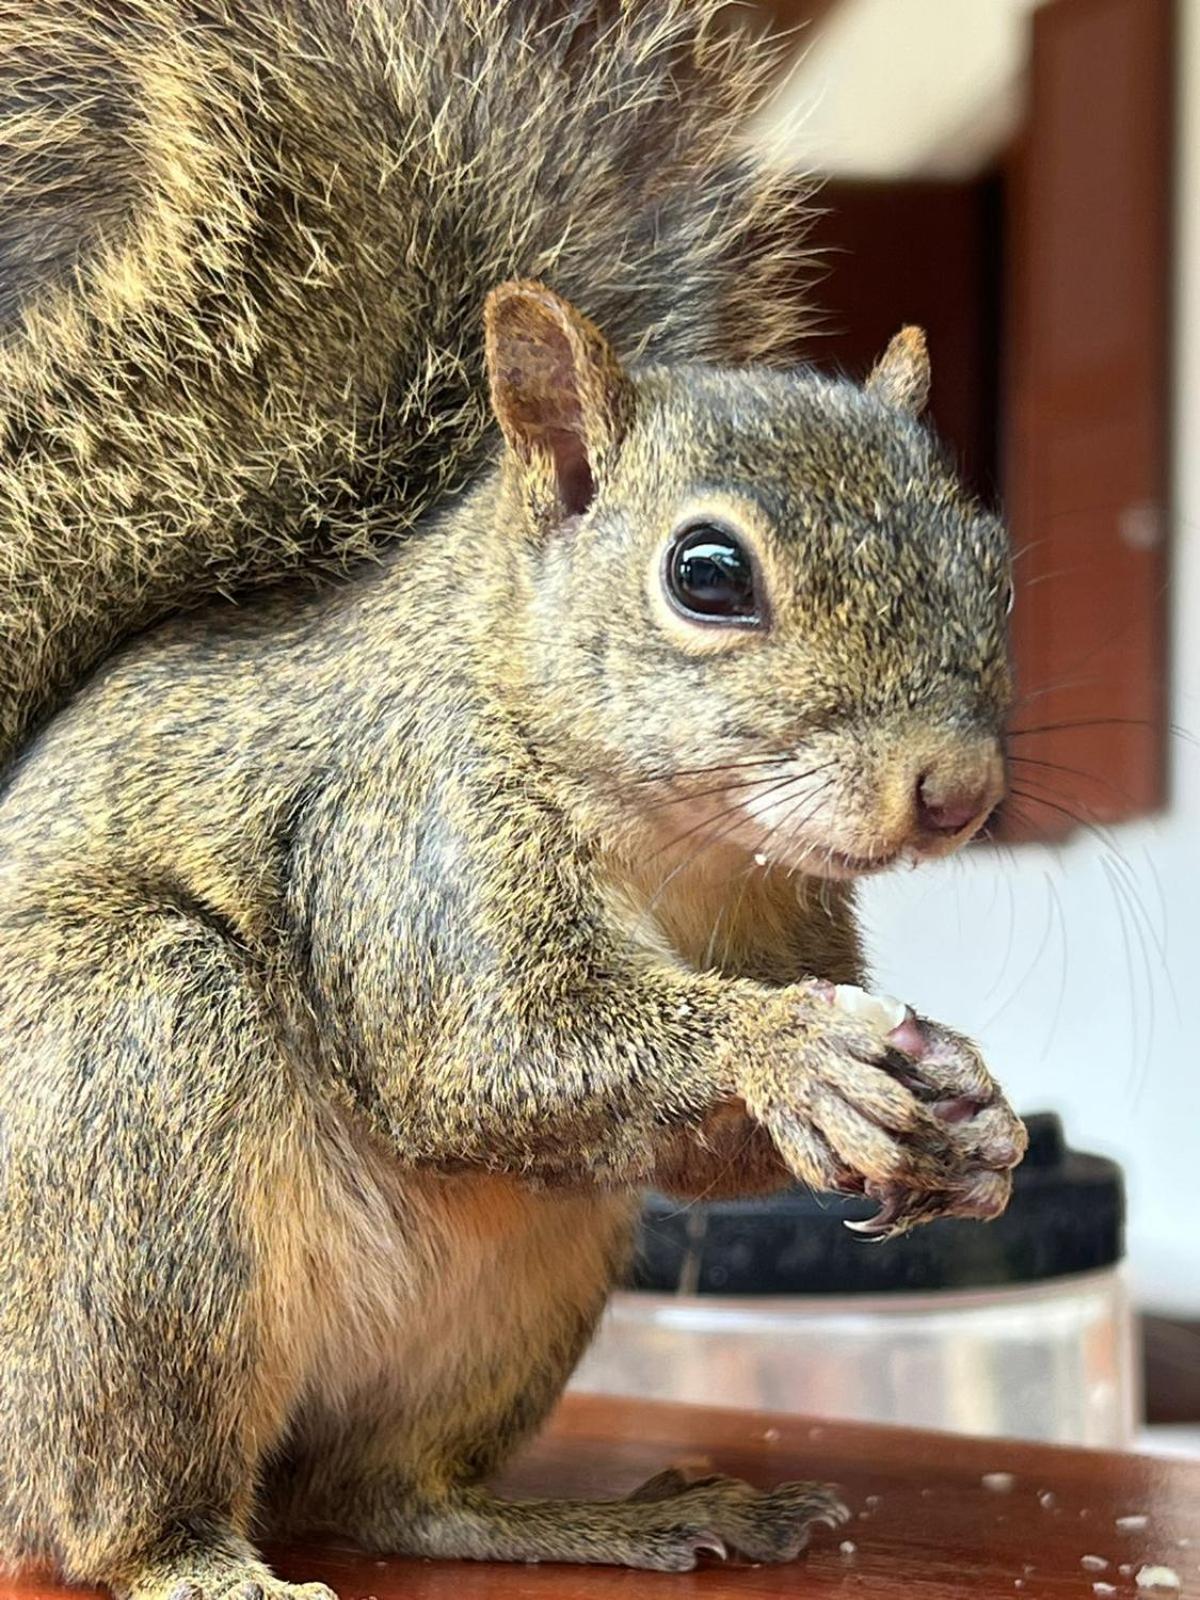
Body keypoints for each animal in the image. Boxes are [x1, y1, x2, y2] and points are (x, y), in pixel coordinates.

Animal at [0, 0, 1030, 1593]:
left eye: (994, 559)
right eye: (707, 575)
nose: (961, 792)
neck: (684, 845)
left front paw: (976, 1110)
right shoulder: (403, 827)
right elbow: (483, 1047)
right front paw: (790, 1050)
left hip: (507, 1307)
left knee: (390, 1494)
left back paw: (615, 1518)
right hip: (133, 1104)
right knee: (112, 1502)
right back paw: (197, 1557)